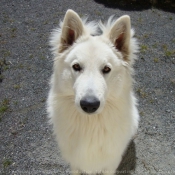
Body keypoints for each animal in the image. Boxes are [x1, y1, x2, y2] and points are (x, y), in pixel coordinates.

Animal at [47, 9, 139, 175]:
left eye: (106, 69)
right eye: (76, 66)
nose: (89, 105)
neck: (90, 124)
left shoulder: (110, 164)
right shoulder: (75, 164)